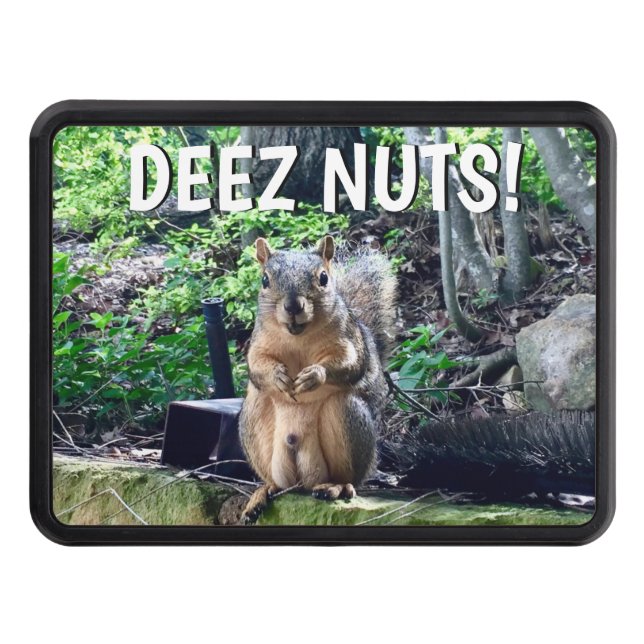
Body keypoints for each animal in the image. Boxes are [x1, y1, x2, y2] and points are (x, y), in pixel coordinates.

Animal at [239, 234, 397, 523]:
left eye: (323, 278)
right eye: (265, 280)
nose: (293, 306)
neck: (298, 336)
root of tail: (303, 481)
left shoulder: (348, 340)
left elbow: (351, 364)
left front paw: (314, 376)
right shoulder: (258, 343)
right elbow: (256, 366)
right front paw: (278, 376)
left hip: (346, 417)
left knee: (347, 477)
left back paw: (337, 487)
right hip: (254, 420)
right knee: (276, 482)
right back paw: (262, 493)